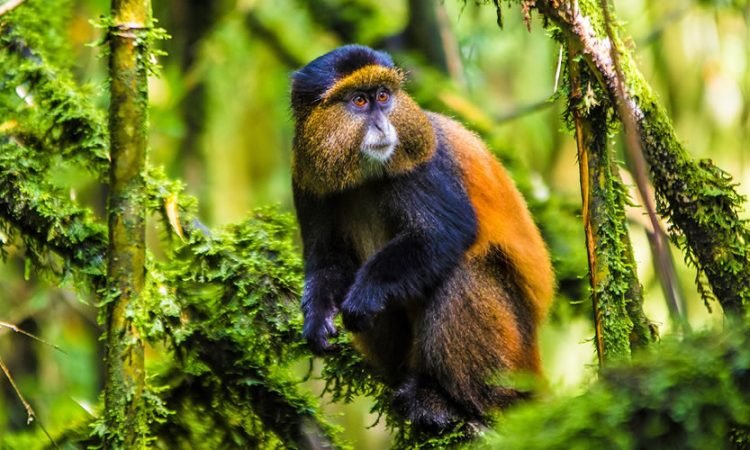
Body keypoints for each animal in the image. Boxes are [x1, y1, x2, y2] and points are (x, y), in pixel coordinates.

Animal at [290, 45, 554, 431]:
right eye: (359, 101)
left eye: (383, 97)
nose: (383, 124)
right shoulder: (306, 180)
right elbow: (327, 259)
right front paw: (317, 317)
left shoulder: (422, 164)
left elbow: (444, 234)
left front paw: (366, 294)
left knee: (463, 272)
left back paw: (450, 400)